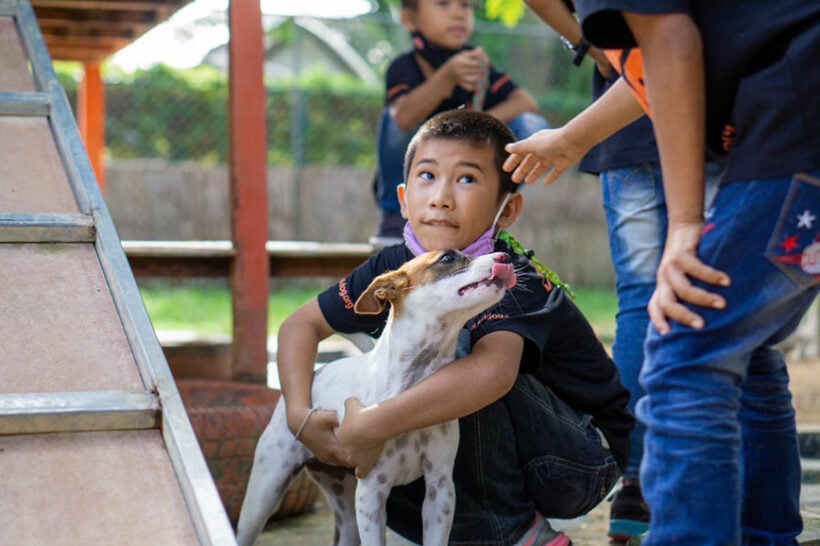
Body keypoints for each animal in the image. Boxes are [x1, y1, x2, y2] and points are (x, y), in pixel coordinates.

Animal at [237, 249, 516, 540]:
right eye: (447, 258)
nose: (506, 256)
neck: (412, 388)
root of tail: (317, 372)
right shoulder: (371, 493)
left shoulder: (440, 489)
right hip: (264, 494)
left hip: (346, 509)